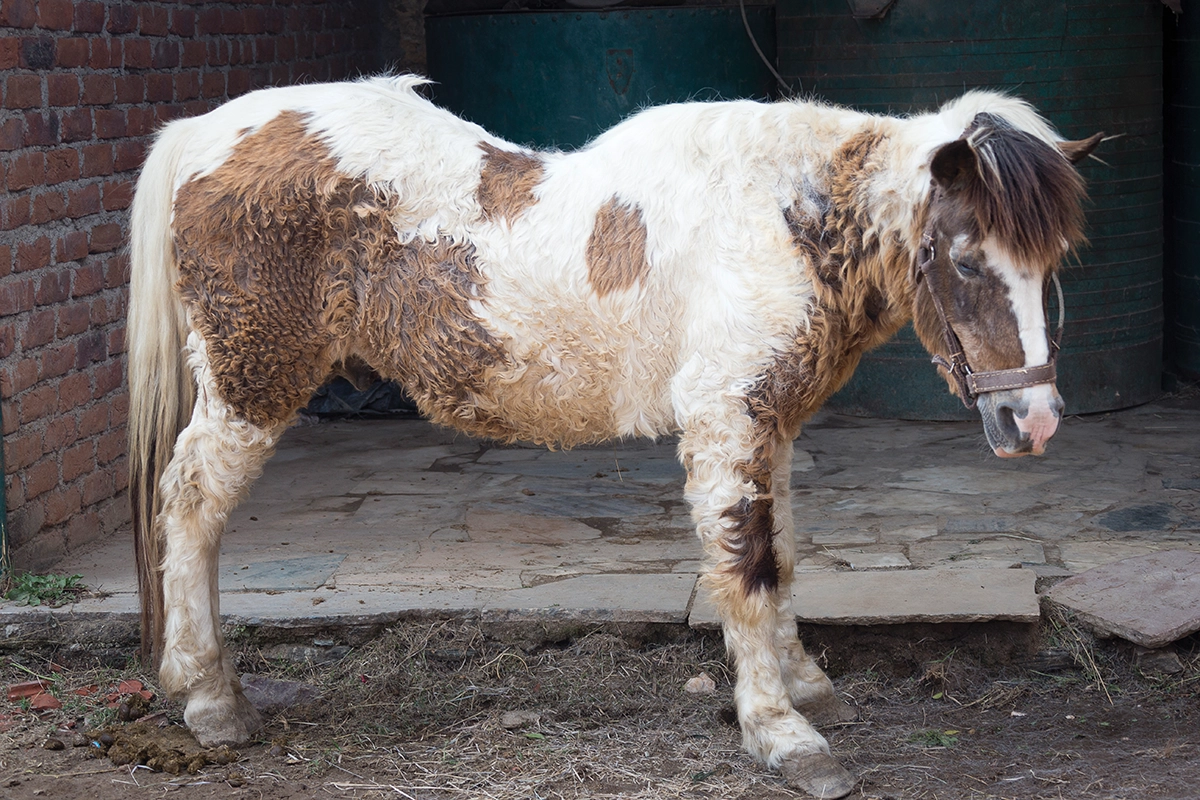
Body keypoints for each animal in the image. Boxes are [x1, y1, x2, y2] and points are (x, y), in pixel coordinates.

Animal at [127, 75, 1101, 799]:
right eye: (966, 259)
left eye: (1051, 266)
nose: (1035, 421)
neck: (780, 214)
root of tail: (206, 133)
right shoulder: (727, 416)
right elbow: (747, 565)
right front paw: (782, 734)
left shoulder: (771, 422)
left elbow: (782, 555)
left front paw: (806, 685)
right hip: (251, 384)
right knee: (191, 507)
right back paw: (211, 699)